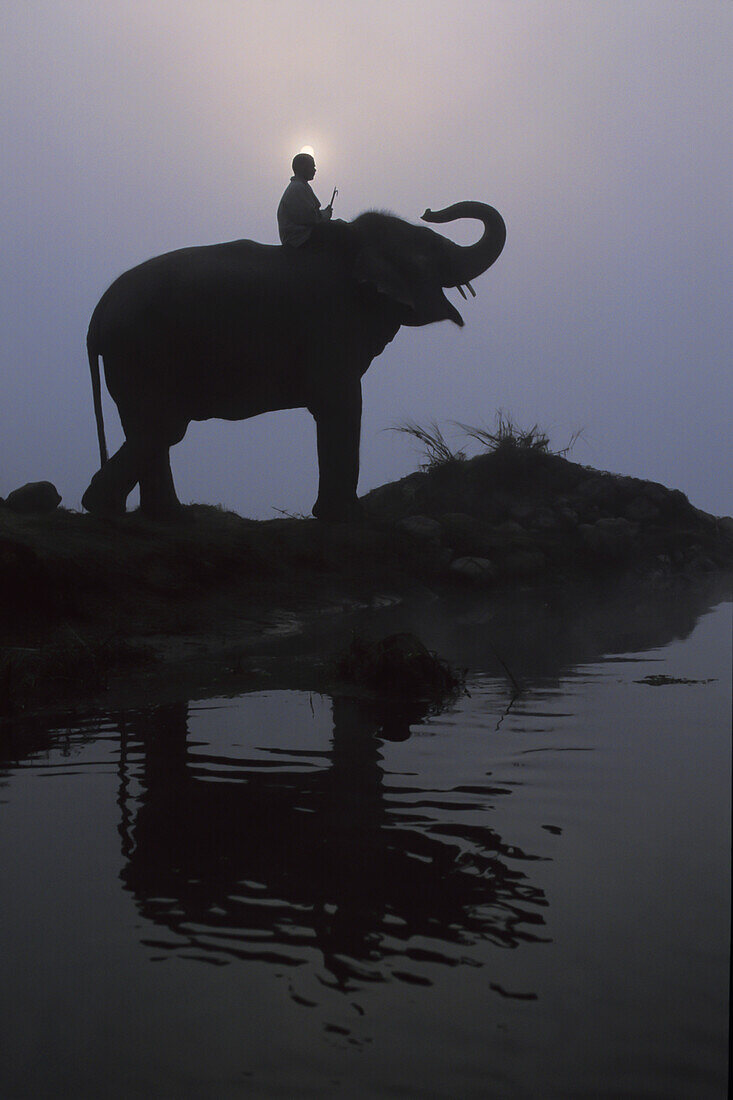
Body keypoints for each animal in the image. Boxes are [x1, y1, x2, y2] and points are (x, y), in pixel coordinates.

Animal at [81, 201, 501, 519]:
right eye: (431, 246)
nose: (431, 211)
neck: (353, 243)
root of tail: (98, 314)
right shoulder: (331, 326)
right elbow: (343, 401)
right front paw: (346, 515)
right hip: (143, 349)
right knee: (163, 426)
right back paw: (113, 509)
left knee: (151, 428)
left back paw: (161, 515)